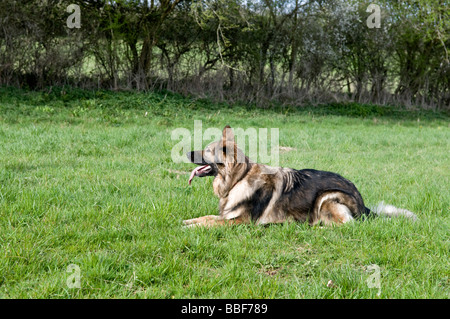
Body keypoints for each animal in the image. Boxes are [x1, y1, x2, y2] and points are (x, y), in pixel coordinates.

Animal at [185, 126, 416, 229]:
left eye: (206, 151)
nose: (187, 153)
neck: (238, 180)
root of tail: (363, 204)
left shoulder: (241, 222)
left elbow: (211, 223)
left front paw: (192, 227)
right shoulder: (228, 216)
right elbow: (207, 217)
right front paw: (189, 221)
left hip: (327, 198)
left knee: (346, 225)